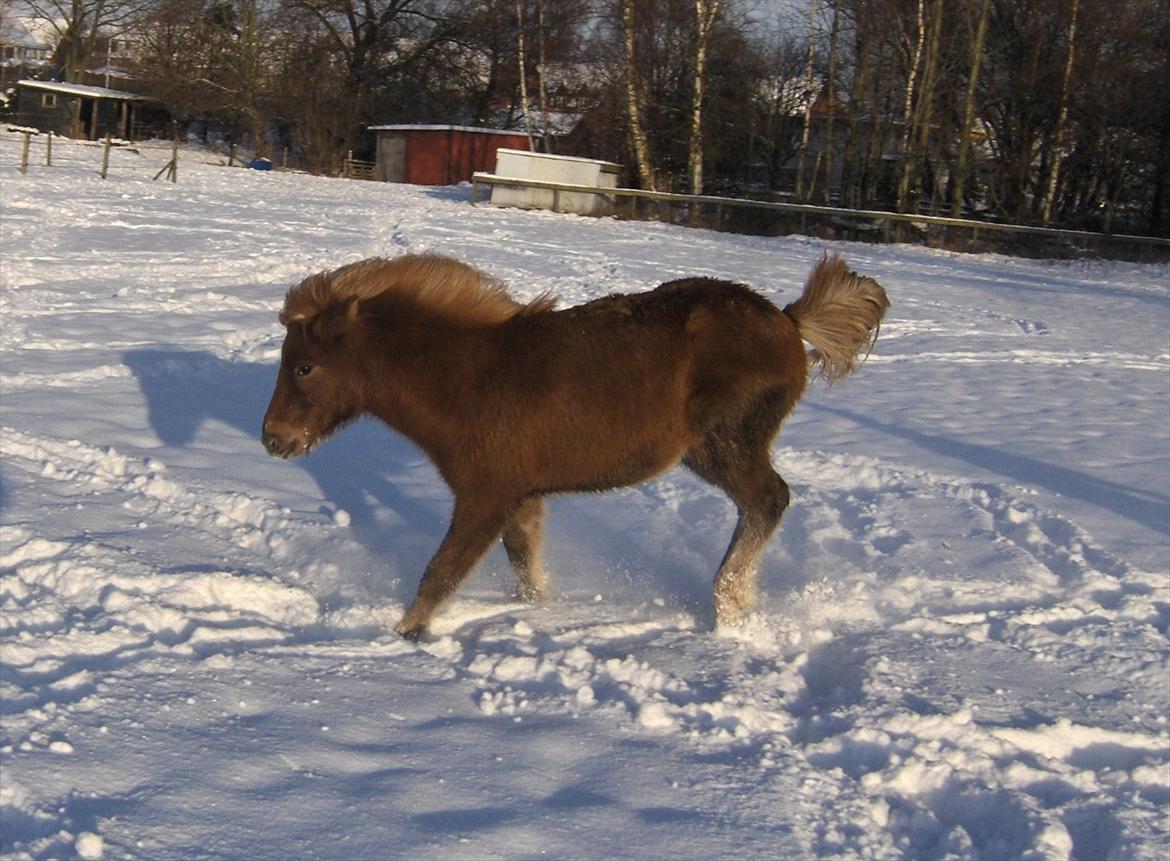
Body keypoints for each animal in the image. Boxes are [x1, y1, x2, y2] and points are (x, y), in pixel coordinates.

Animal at [263, 252, 884, 636]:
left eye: (305, 366)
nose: (273, 439)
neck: (468, 378)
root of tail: (790, 321)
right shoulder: (520, 496)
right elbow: (526, 568)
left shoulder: (486, 495)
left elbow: (441, 572)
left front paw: (403, 637)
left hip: (724, 445)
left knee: (769, 501)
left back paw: (729, 608)